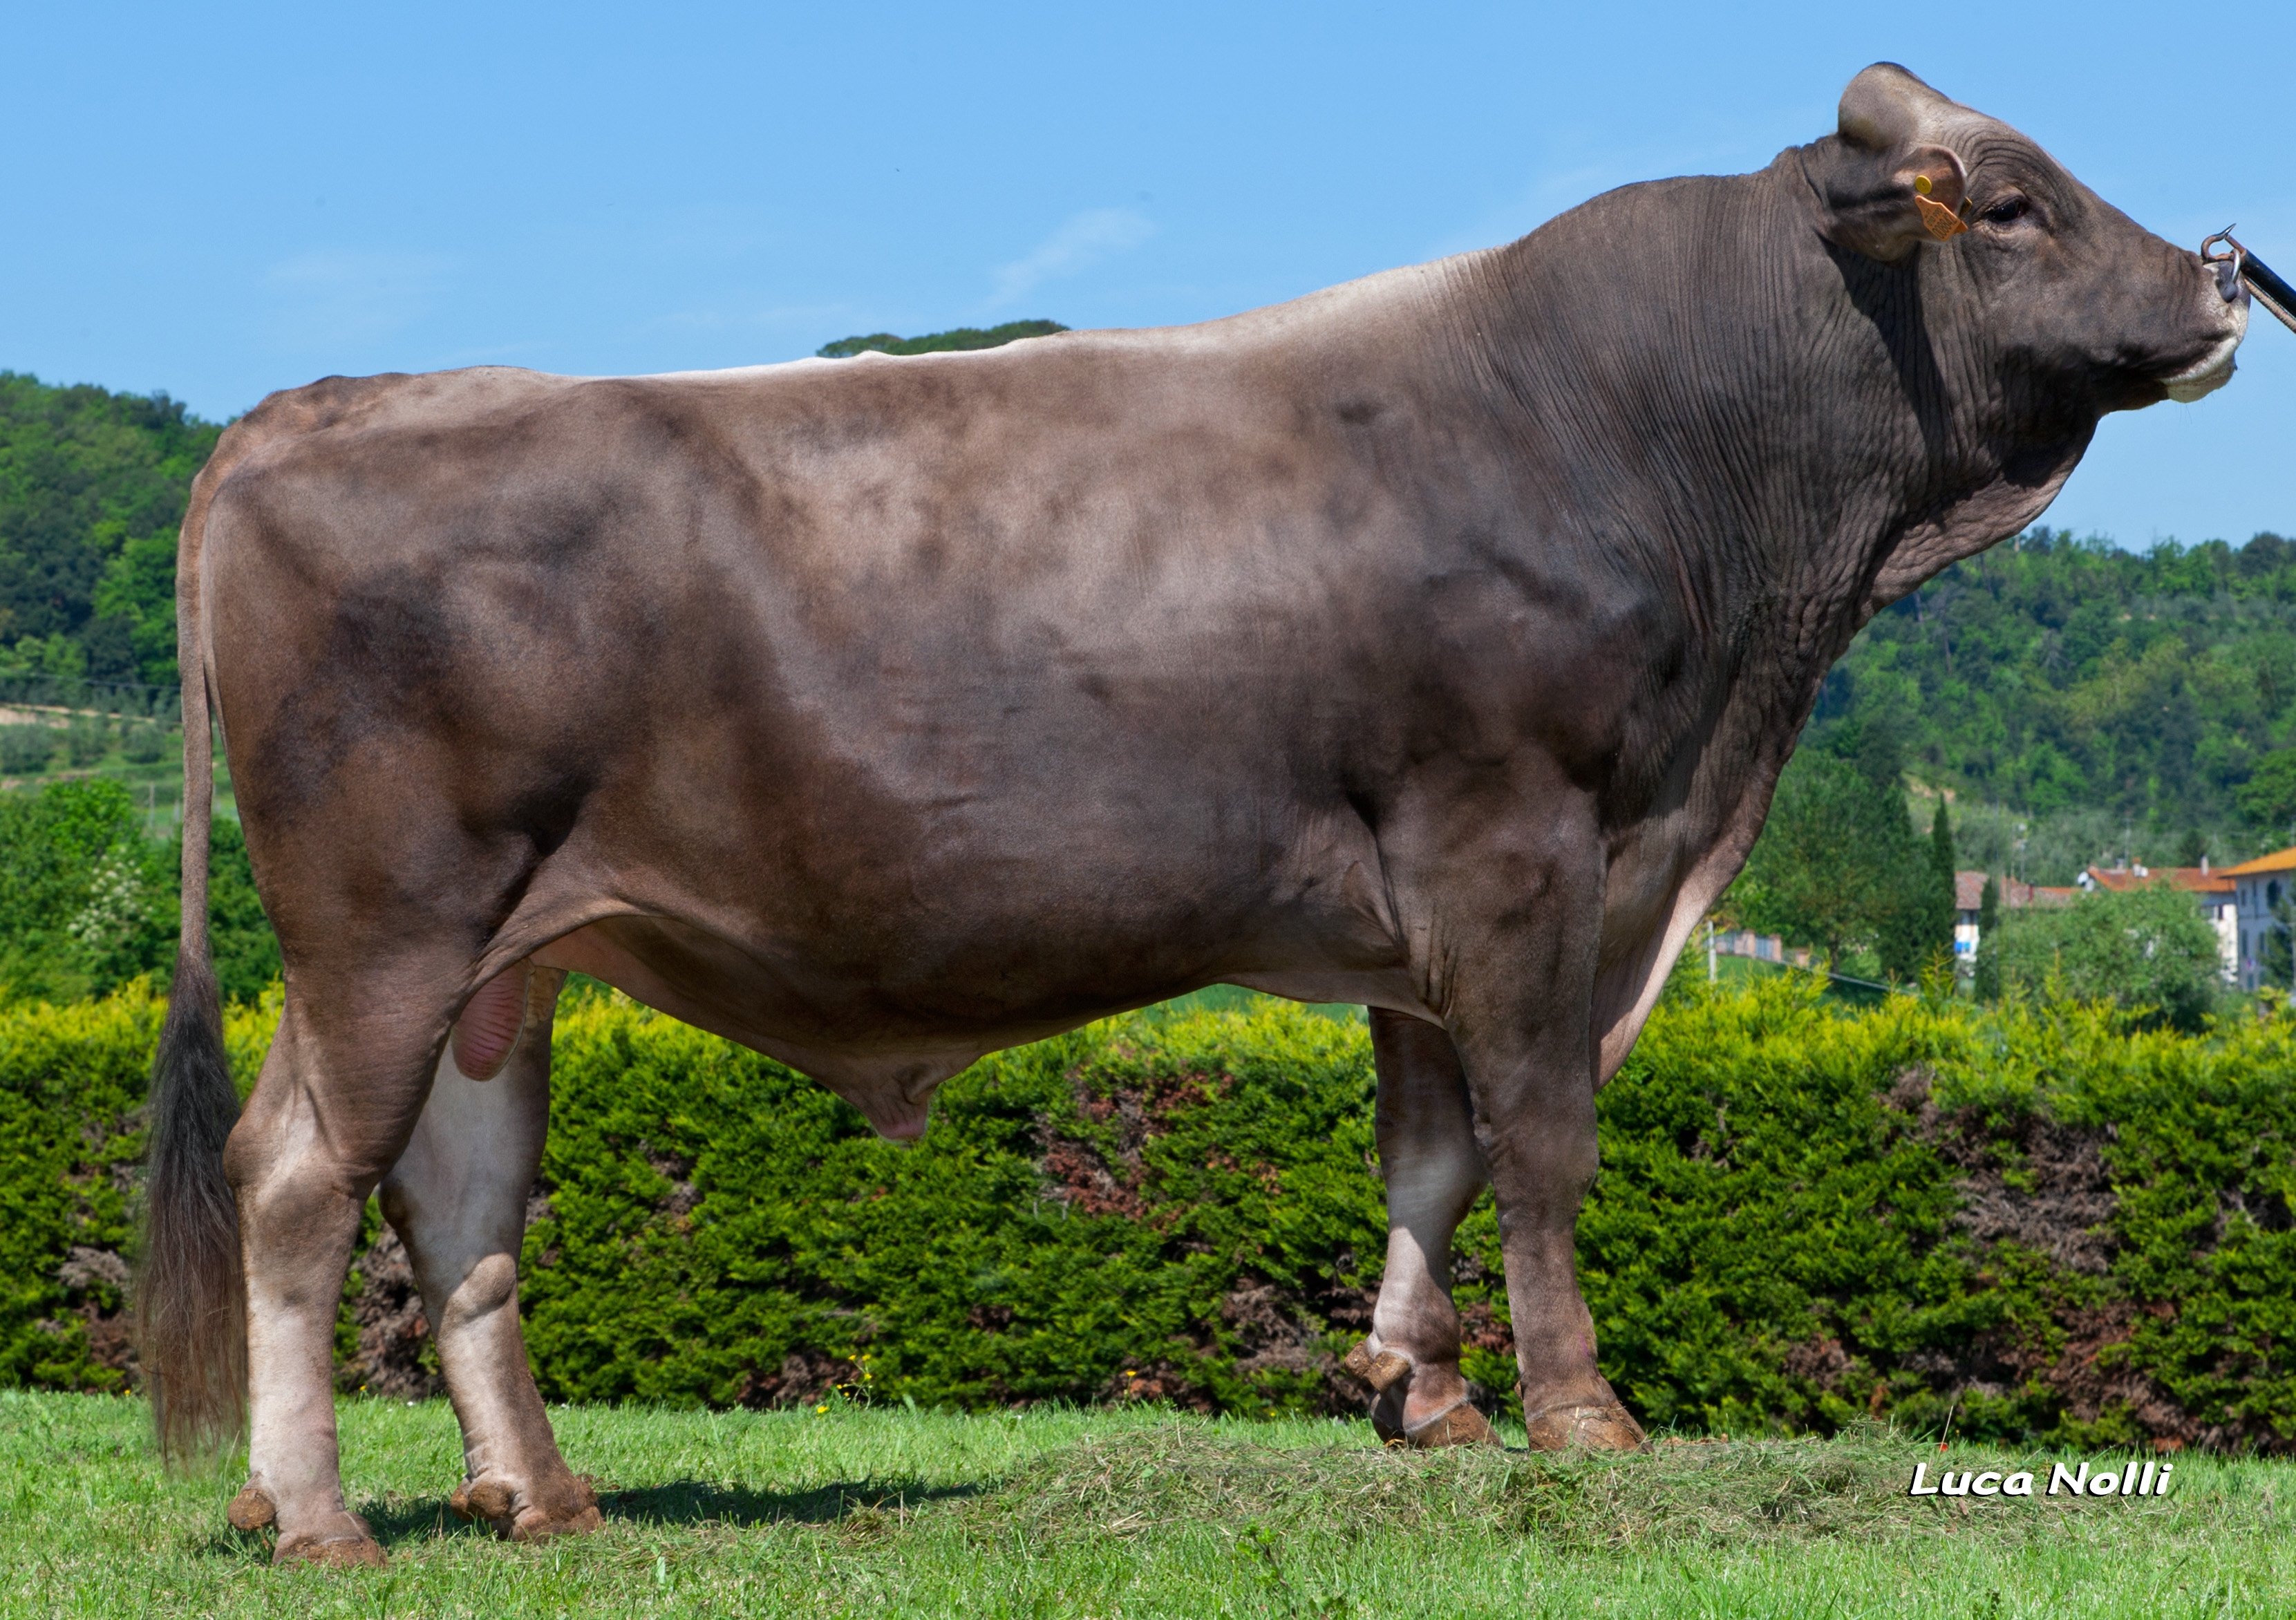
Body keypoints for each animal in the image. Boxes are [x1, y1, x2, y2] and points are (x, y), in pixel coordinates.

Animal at [138, 66, 2241, 1560]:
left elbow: (1430, 1153)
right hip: (389, 925)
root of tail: (315, 405)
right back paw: (317, 1517)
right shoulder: (1521, 846)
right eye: (2013, 202)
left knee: (457, 1202)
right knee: (304, 1182)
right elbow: (1541, 1138)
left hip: (503, 960)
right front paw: (1581, 1416)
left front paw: (1419, 1394)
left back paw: (538, 1496)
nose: (2223, 275)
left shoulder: (1424, 904)